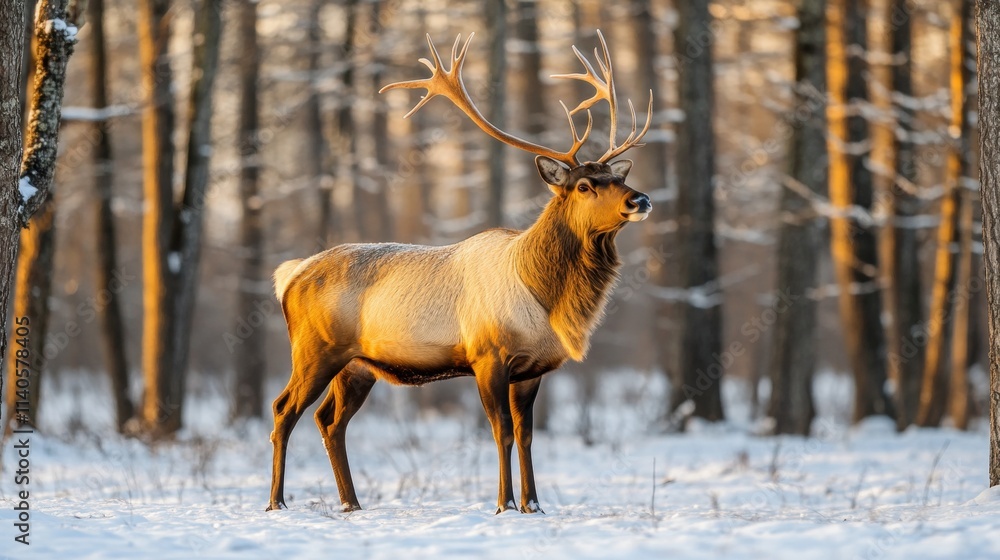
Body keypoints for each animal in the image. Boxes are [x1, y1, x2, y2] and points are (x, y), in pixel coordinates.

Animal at [267, 30, 653, 515]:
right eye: (584, 185)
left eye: (615, 177)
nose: (640, 199)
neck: (544, 299)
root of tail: (290, 275)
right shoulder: (487, 355)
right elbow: (501, 431)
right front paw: (504, 505)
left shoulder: (533, 369)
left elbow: (527, 435)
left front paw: (534, 505)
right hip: (314, 350)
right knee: (284, 409)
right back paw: (277, 503)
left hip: (355, 365)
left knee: (329, 421)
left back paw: (351, 503)